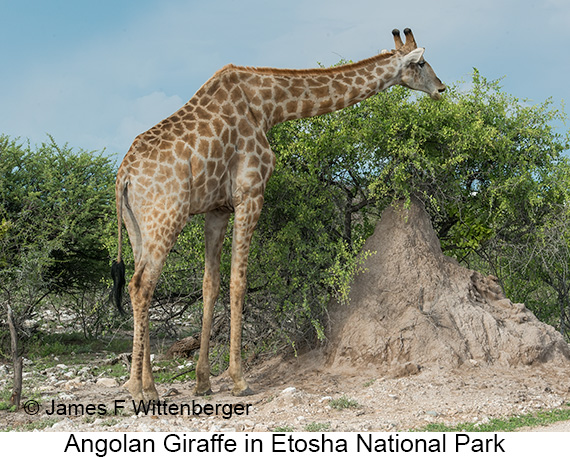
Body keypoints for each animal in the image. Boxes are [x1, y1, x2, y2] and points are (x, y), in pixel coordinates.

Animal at [111, 27, 446, 400]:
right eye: (421, 62)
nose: (442, 88)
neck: (268, 107)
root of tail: (124, 176)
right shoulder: (250, 193)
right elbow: (239, 280)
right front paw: (240, 380)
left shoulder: (218, 208)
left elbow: (211, 283)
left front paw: (203, 383)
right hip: (166, 217)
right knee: (141, 285)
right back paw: (139, 389)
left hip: (137, 226)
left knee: (139, 283)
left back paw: (146, 385)